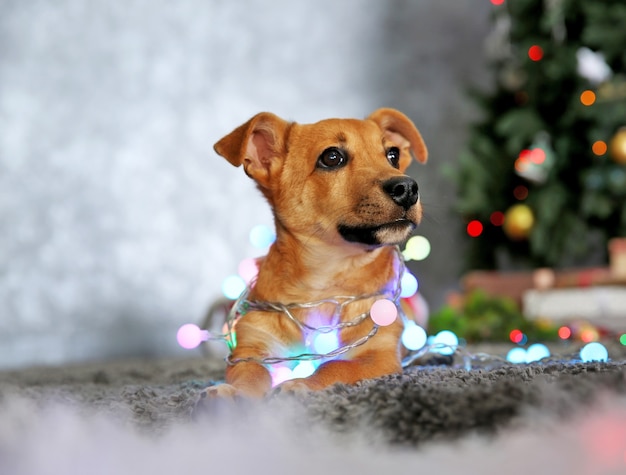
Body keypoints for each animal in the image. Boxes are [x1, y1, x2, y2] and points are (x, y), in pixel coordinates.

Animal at [202, 107, 426, 398]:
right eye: (332, 157)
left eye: (393, 155)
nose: (408, 189)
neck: (323, 287)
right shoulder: (252, 348)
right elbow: (251, 373)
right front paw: (234, 392)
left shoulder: (379, 356)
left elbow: (335, 366)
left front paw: (301, 384)